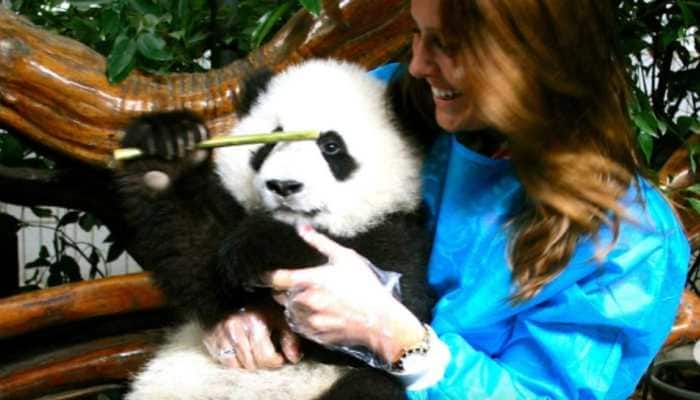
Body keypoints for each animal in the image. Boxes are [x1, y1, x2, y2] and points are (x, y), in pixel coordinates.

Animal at [115, 59, 433, 400]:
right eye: (270, 142)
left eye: (331, 146)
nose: (283, 185)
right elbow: (199, 264)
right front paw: (165, 151)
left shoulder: (395, 230)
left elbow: (399, 303)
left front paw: (258, 243)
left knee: (369, 385)